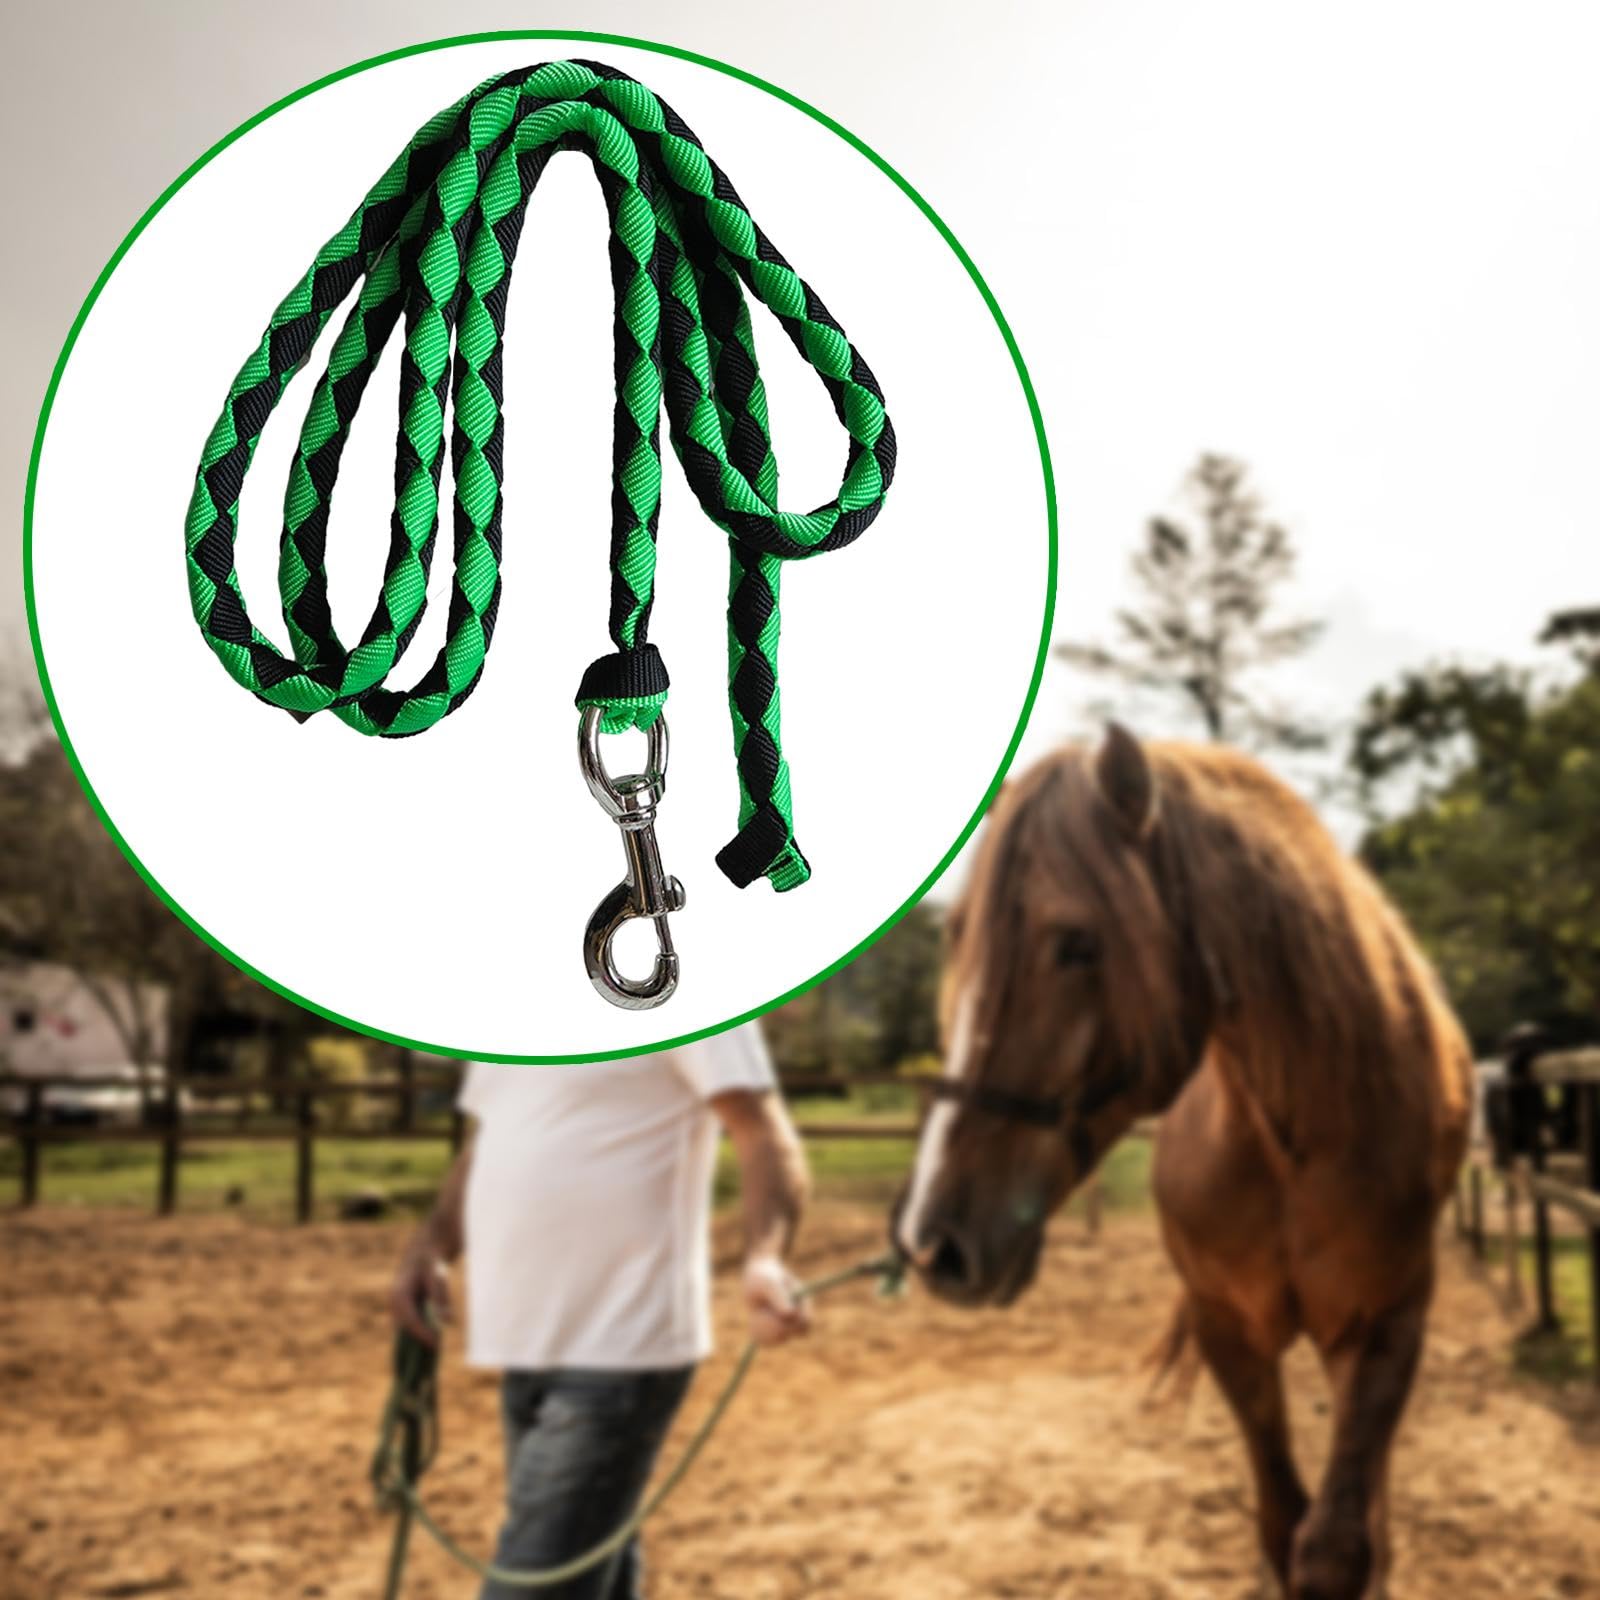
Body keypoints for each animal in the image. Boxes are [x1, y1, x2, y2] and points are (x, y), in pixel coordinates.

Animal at [894, 725, 1472, 1600]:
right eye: (958, 937)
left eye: (1078, 943)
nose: (933, 1243)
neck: (1287, 1139)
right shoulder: (1225, 1326)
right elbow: (1283, 1526)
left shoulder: (1384, 1327)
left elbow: (1337, 1546)